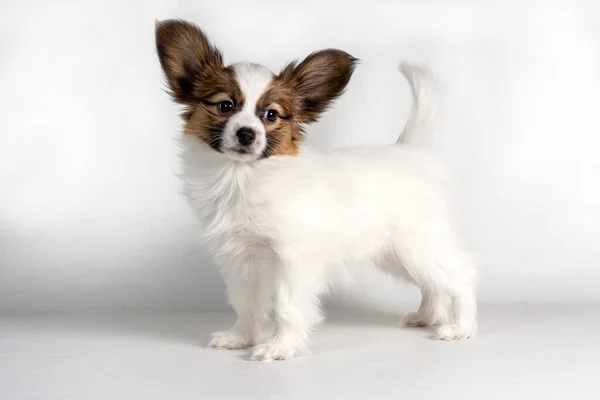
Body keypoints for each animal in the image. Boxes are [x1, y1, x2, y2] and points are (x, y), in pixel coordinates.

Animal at [155, 19, 478, 362]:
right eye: (225, 106)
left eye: (271, 115)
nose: (246, 134)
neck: (240, 176)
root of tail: (412, 151)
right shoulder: (241, 259)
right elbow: (246, 304)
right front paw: (241, 338)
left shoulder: (293, 259)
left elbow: (287, 307)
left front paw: (280, 347)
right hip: (396, 255)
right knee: (433, 283)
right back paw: (428, 316)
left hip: (417, 245)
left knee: (461, 276)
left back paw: (462, 327)